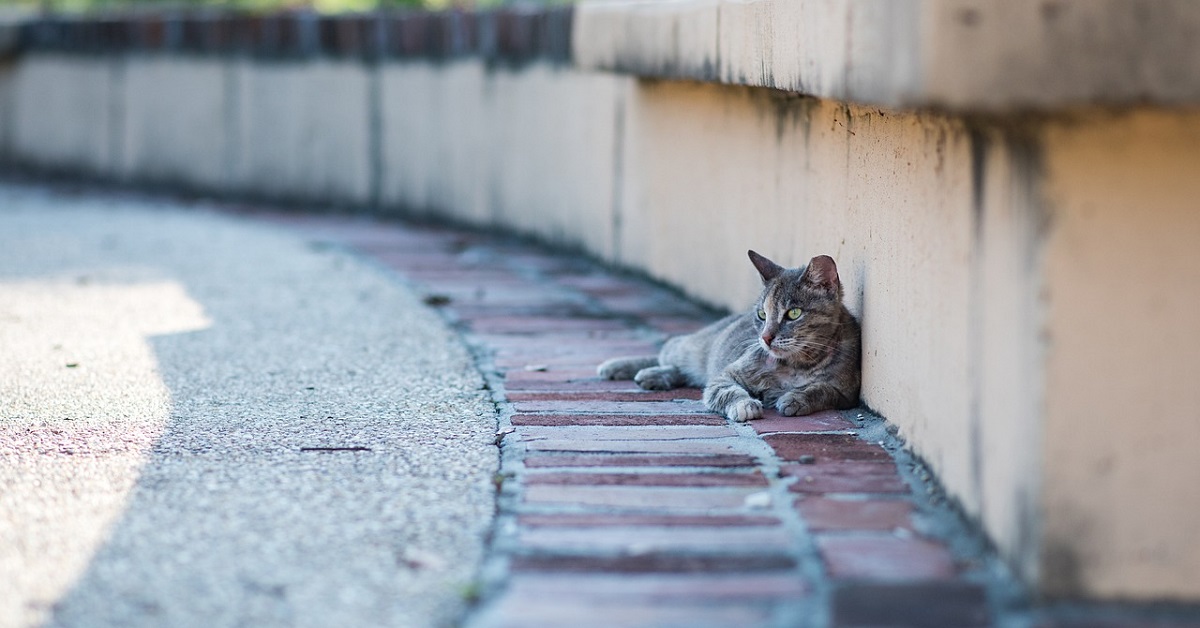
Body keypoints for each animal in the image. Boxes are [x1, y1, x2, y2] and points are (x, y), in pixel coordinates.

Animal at [595, 250, 859, 422]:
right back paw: (621, 367)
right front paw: (745, 405)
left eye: (793, 313)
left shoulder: (846, 393)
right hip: (691, 349)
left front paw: (796, 398)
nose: (765, 338)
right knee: (669, 350)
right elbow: (727, 391)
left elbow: (821, 390)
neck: (798, 365)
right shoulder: (726, 375)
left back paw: (654, 376)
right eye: (762, 314)